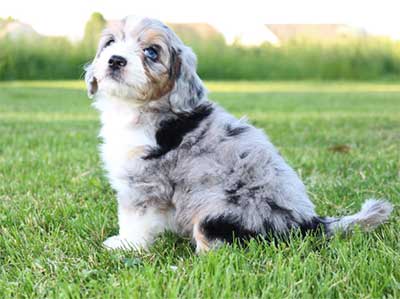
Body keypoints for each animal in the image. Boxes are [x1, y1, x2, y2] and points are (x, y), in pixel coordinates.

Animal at [83, 16, 392, 253]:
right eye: (109, 43)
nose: (115, 60)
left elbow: (134, 219)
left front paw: (125, 245)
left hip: (217, 212)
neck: (139, 107)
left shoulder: (145, 182)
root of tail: (309, 222)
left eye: (151, 52)